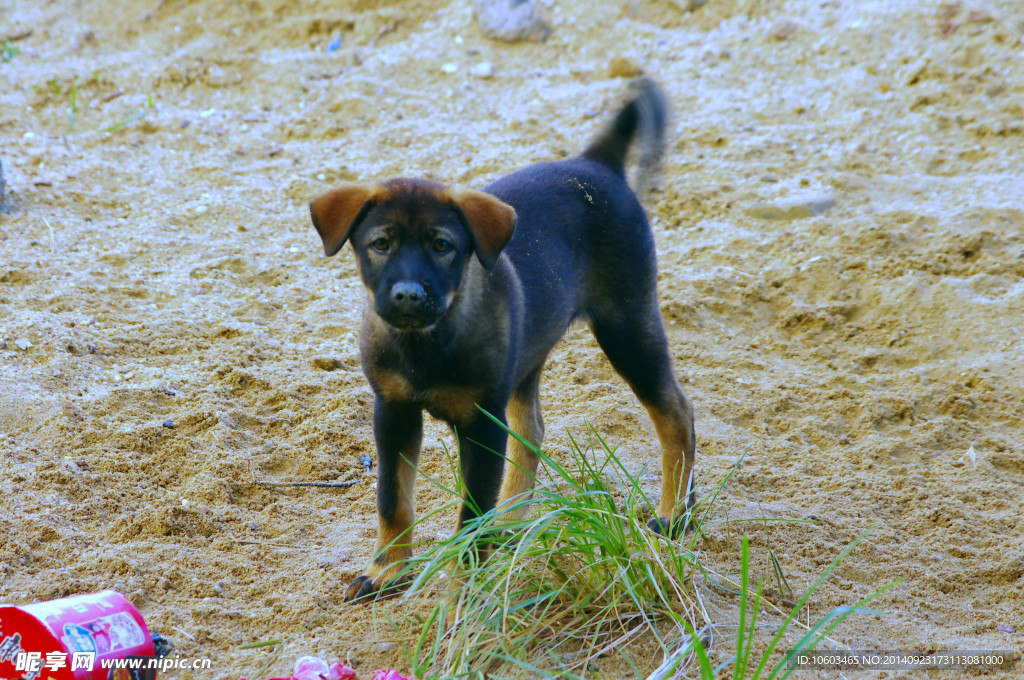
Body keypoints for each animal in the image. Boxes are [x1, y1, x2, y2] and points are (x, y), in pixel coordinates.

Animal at [309, 76, 696, 602]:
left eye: (442, 245)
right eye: (381, 244)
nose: (408, 295)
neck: (426, 344)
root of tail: (596, 163)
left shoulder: (482, 423)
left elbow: (469, 518)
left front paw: (459, 593)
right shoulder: (393, 411)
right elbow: (393, 499)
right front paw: (387, 569)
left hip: (627, 323)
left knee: (675, 411)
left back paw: (674, 514)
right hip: (528, 356)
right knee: (532, 429)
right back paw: (510, 525)